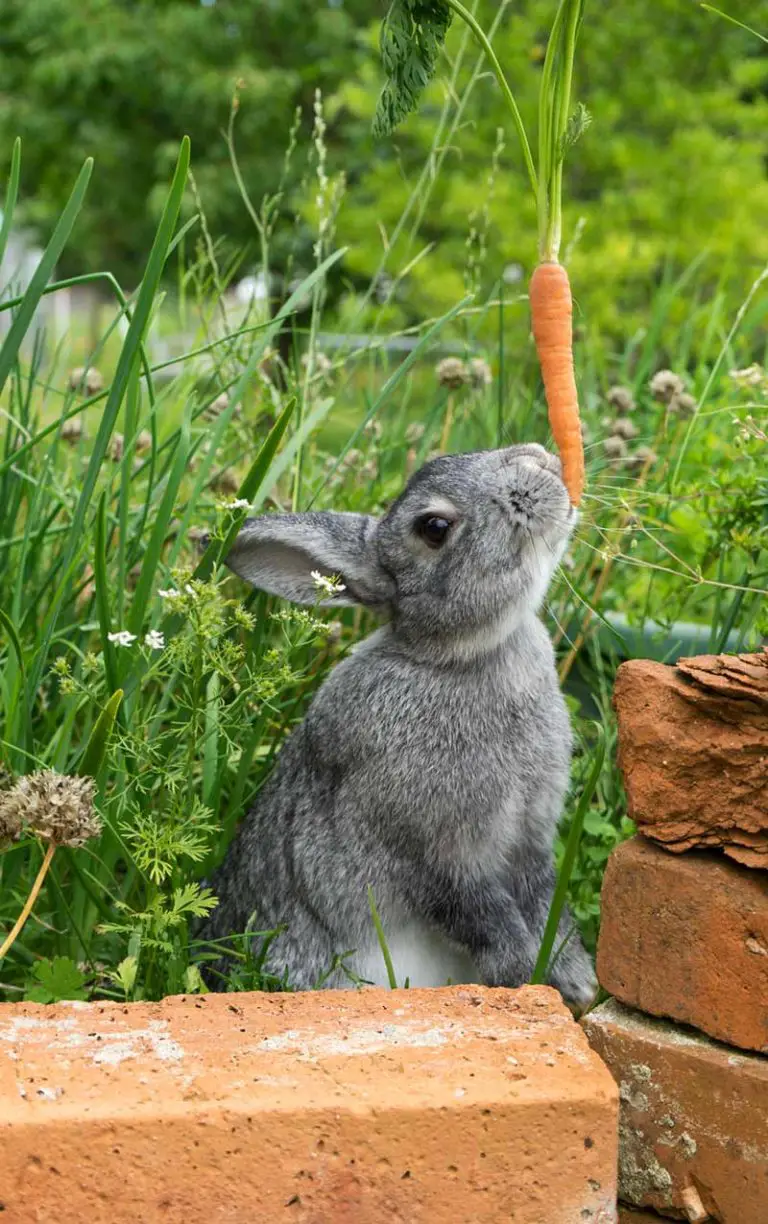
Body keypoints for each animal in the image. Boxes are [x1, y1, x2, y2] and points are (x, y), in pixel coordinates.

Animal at [198, 443, 597, 1011]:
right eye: (433, 527)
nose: (538, 459)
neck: (457, 656)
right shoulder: (430, 851)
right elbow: (481, 916)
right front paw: (526, 976)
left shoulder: (530, 841)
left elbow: (547, 906)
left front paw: (577, 983)